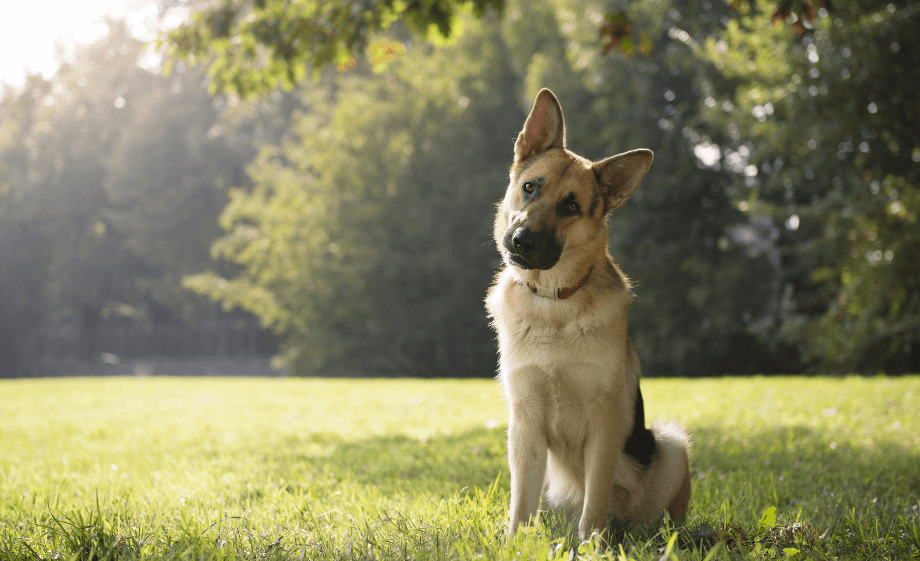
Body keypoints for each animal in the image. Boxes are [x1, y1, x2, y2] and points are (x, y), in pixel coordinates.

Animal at [488, 87, 688, 540]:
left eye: (571, 207)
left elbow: (594, 499)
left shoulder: (605, 421)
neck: (554, 303)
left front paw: (592, 544)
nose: (521, 240)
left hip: (671, 445)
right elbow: (519, 503)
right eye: (530, 187)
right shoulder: (524, 422)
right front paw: (514, 543)